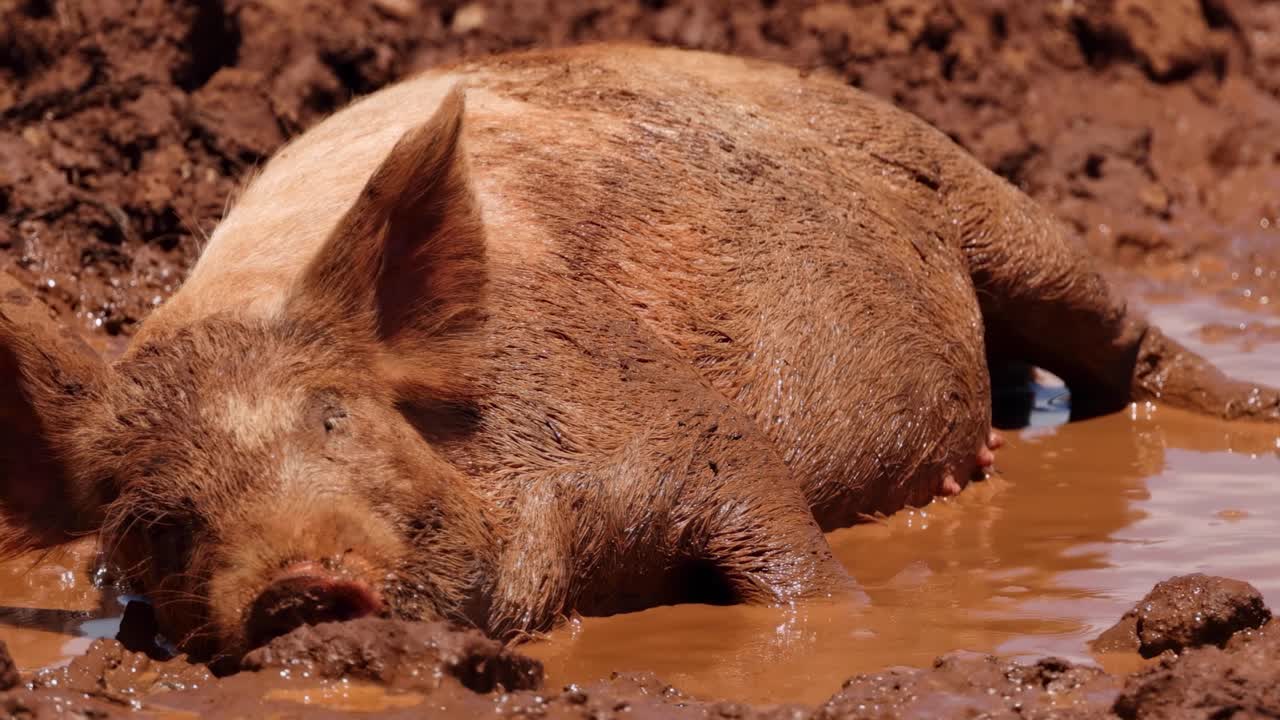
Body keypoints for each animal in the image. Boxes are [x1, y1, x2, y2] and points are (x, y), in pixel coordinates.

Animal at [2, 45, 1277, 666]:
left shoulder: (686, 436)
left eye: (336, 417)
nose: (294, 585)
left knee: (1126, 347)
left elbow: (785, 554)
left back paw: (1250, 406)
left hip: (985, 205)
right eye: (151, 520)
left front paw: (842, 637)